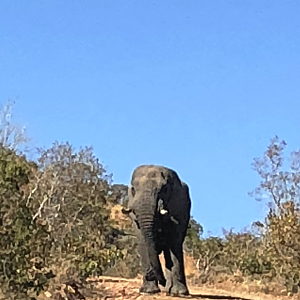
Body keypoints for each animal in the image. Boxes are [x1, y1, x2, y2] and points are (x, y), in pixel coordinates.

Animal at [122, 164, 191, 296]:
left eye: (164, 190)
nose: (149, 274)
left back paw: (171, 290)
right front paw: (149, 291)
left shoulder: (179, 207)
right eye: (133, 190)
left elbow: (174, 242)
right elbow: (143, 241)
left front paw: (179, 293)